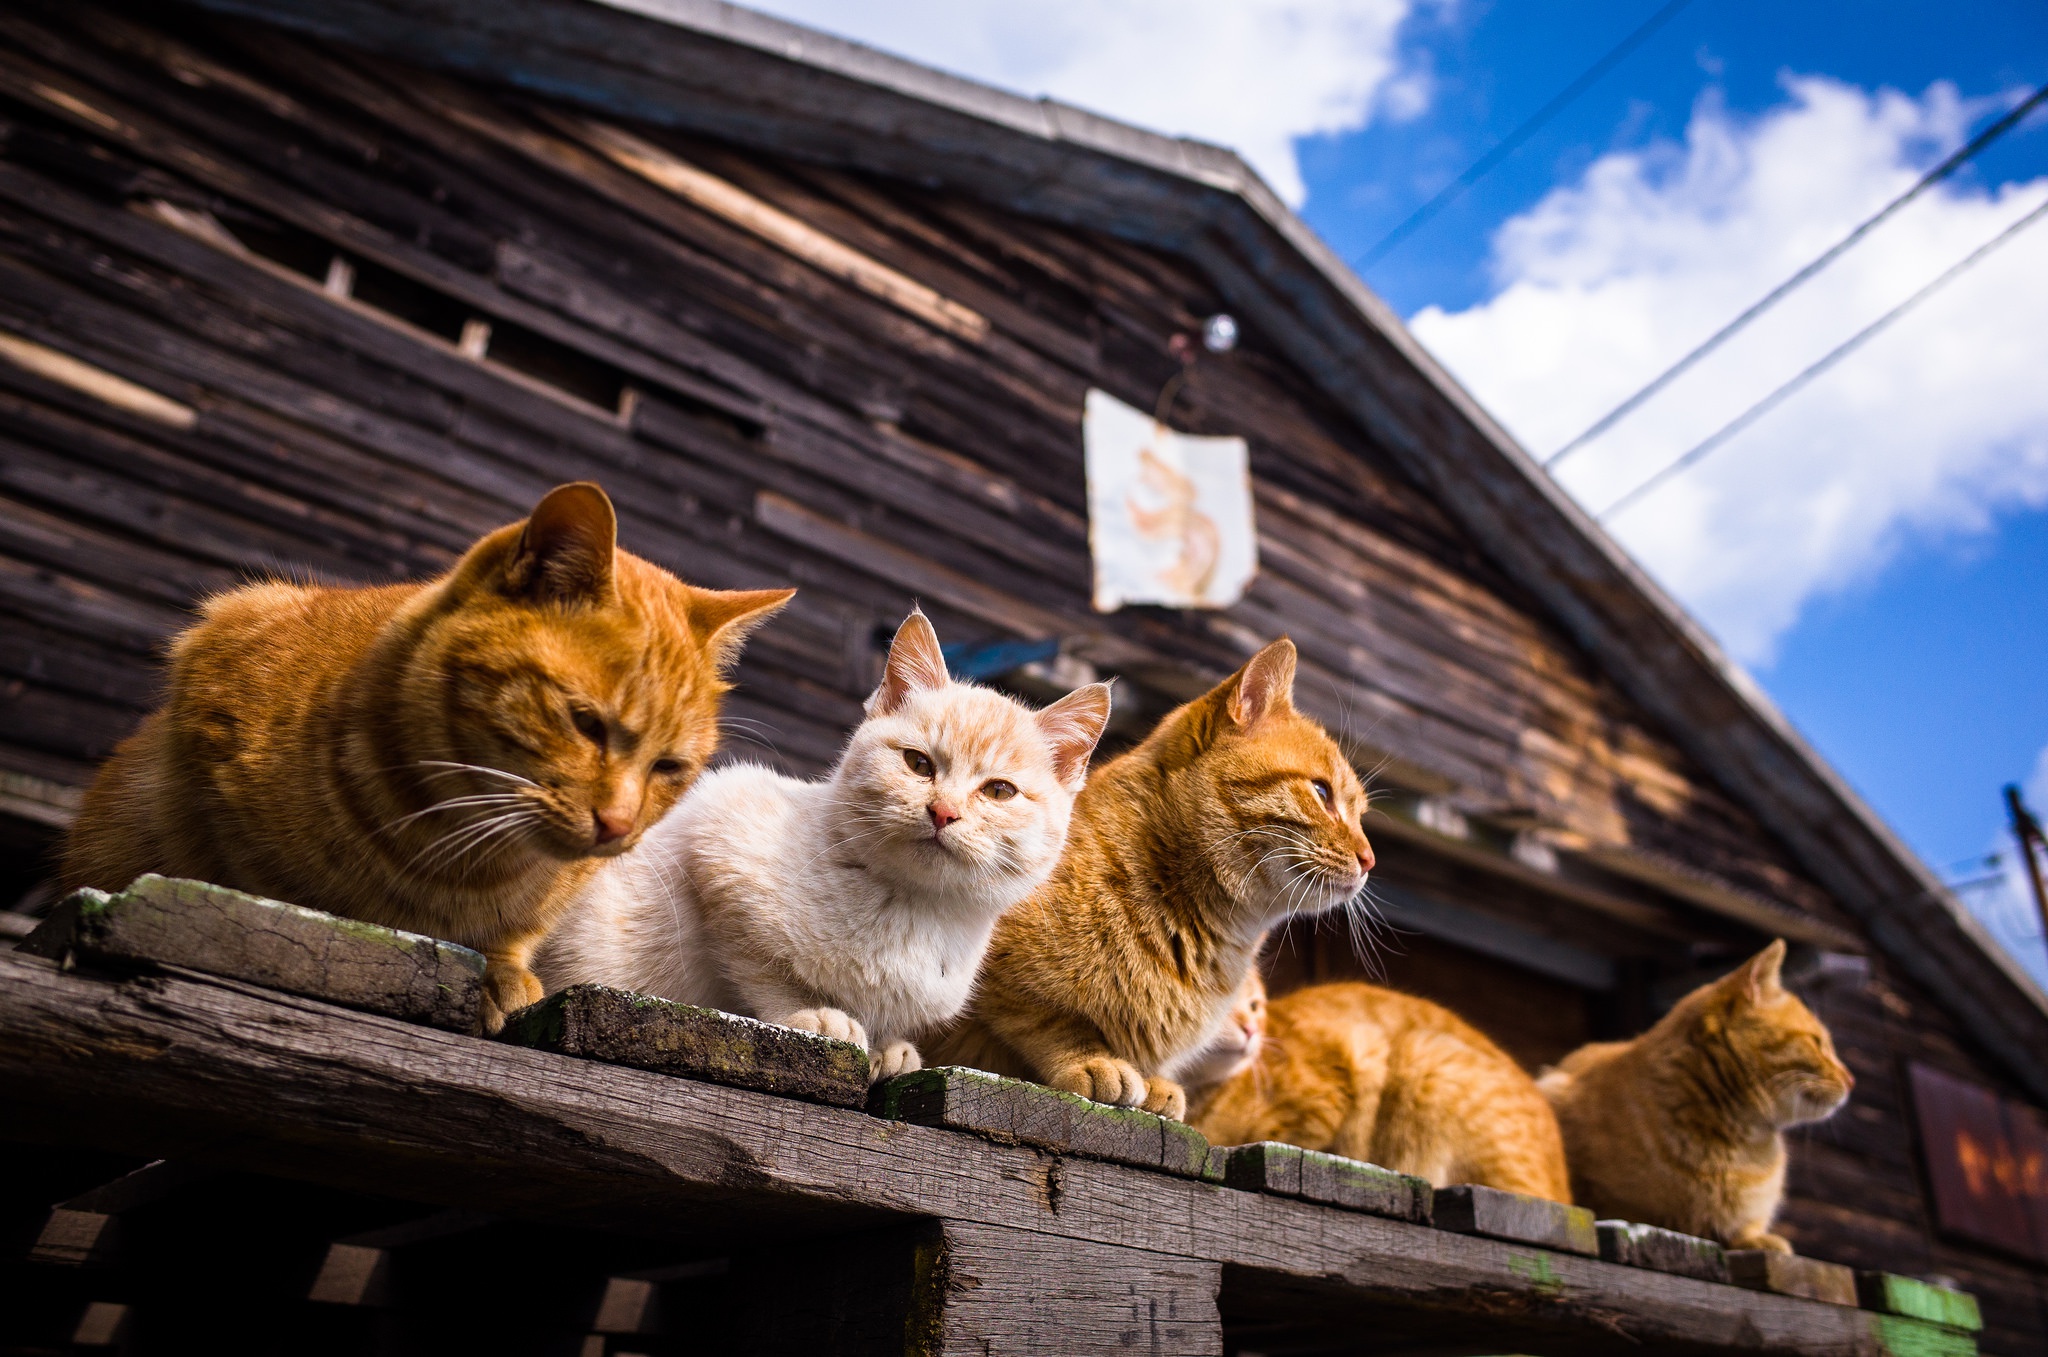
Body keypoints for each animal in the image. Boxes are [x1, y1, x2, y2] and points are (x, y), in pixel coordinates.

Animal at [66, 489, 790, 1031]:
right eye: (586, 723)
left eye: (669, 767)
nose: (618, 825)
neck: (463, 856)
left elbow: (517, 935)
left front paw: (503, 971)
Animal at [536, 609, 1114, 1080]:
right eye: (918, 763)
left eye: (999, 791)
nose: (943, 811)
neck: (912, 907)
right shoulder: (717, 835)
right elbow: (758, 966)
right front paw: (811, 1015)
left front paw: (888, 1045)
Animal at [937, 642, 1368, 1121]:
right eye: (1322, 792)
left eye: (1361, 813)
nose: (1369, 859)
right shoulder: (992, 979)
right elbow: (1048, 1022)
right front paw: (1094, 1060)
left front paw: (1154, 1082)